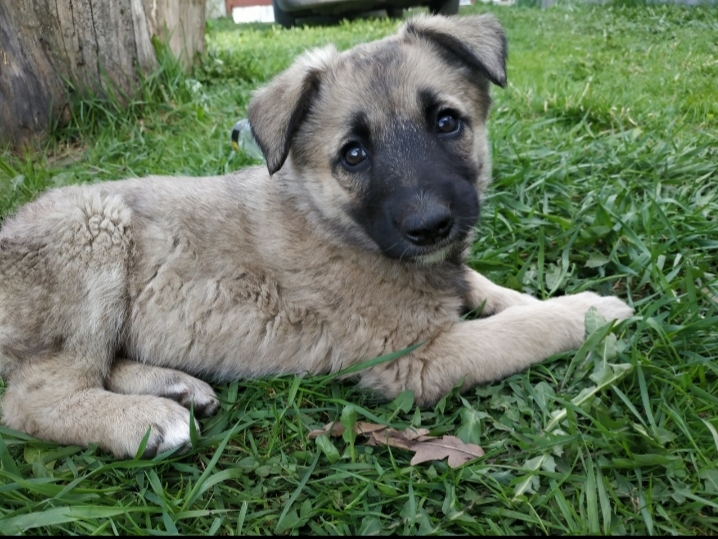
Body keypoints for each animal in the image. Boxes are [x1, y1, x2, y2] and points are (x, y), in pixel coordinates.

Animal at [0, 14, 632, 458]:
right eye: (353, 155)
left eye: (447, 122)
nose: (430, 226)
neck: (336, 223)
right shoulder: (418, 358)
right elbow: (522, 329)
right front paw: (594, 311)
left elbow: (491, 290)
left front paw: (541, 298)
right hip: (95, 232)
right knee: (32, 399)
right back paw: (144, 418)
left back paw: (175, 385)